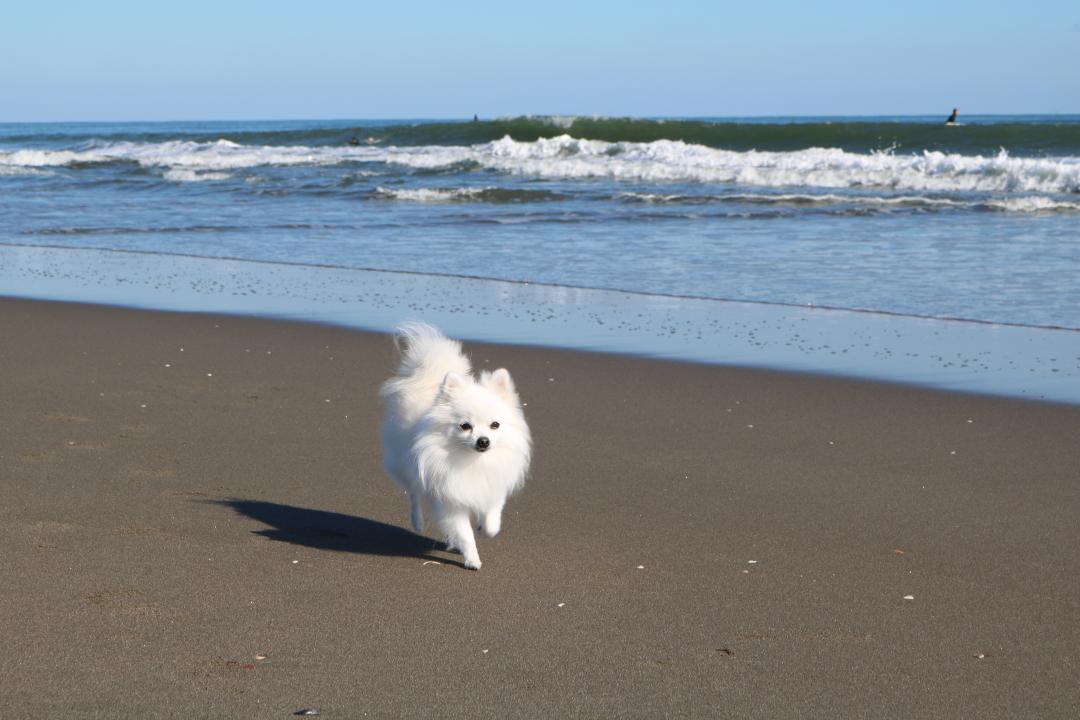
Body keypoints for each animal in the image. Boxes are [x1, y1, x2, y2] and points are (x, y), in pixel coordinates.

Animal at [380, 323, 531, 569]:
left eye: (495, 425)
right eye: (465, 426)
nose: (483, 440)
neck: (472, 461)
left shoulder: (493, 487)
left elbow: (492, 522)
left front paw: (483, 529)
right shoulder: (450, 500)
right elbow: (464, 533)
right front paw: (472, 559)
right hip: (406, 464)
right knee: (414, 492)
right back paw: (418, 522)